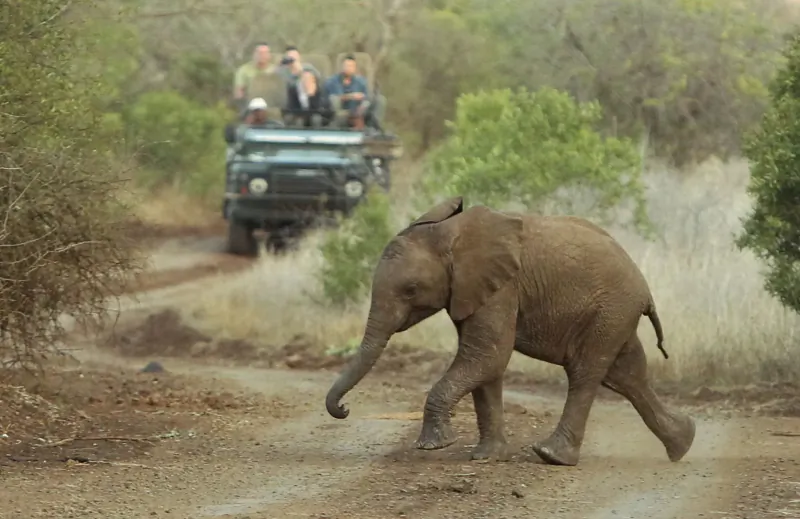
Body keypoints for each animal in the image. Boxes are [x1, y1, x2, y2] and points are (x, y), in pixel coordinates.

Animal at [324, 197, 695, 466]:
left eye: (411, 290)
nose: (345, 410)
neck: (450, 233)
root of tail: (645, 289)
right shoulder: (472, 290)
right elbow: (486, 364)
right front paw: (487, 458)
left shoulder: (503, 287)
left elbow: (487, 356)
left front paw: (434, 446)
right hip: (615, 314)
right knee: (627, 374)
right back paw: (683, 444)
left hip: (612, 308)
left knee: (586, 372)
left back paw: (552, 457)